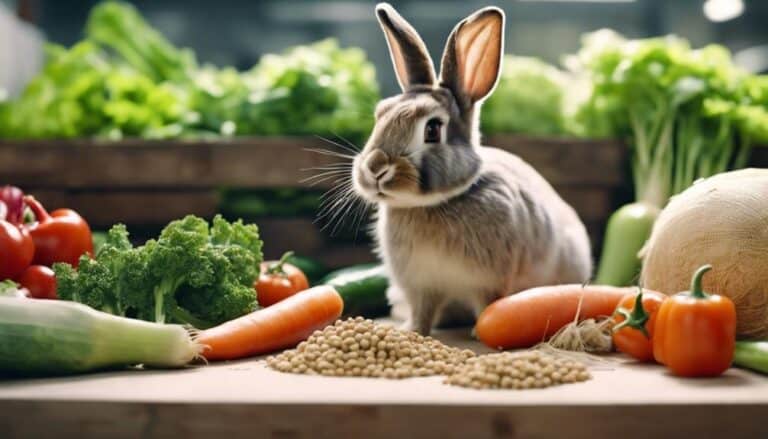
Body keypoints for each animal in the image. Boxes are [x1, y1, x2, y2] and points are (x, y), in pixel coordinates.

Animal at [351, 3, 593, 336]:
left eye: (432, 129)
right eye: (380, 115)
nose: (375, 168)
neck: (435, 203)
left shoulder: (489, 281)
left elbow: (488, 305)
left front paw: (481, 331)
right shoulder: (420, 286)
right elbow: (422, 310)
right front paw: (413, 331)